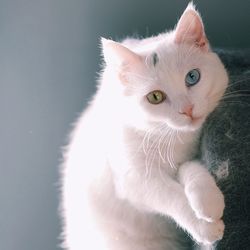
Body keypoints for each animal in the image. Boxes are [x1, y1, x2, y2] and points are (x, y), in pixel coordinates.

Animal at [60, 2, 229, 250]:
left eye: (192, 77)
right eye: (155, 97)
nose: (187, 110)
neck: (169, 137)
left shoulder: (190, 154)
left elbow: (191, 168)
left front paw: (208, 201)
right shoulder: (135, 181)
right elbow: (172, 197)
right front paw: (205, 227)